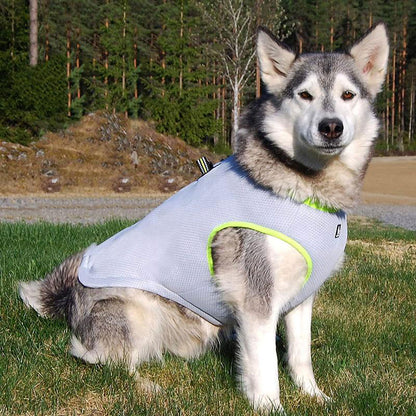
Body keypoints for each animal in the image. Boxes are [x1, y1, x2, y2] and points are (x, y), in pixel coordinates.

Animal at [19, 25, 390, 412]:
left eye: (347, 95)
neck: (306, 193)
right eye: (305, 95)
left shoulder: (302, 298)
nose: (330, 126)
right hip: (136, 310)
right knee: (100, 357)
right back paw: (148, 387)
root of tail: (68, 298)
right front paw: (270, 407)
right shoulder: (255, 300)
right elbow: (266, 366)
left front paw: (316, 397)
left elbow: (300, 355)